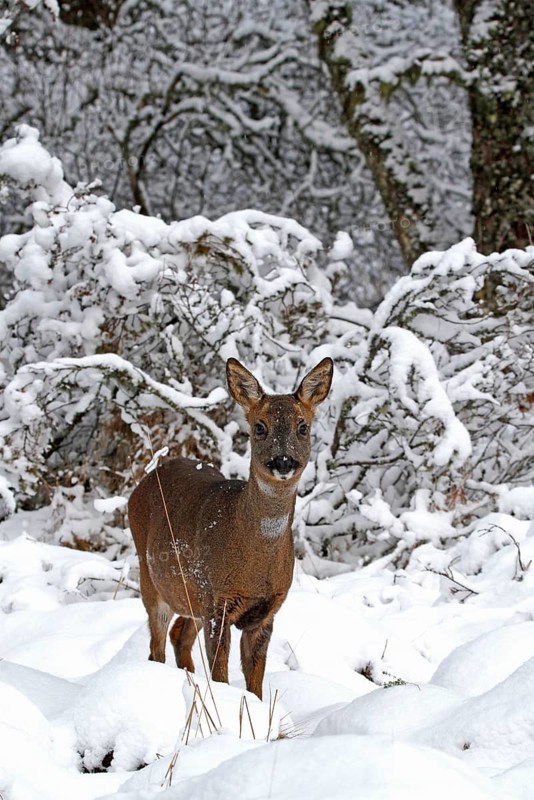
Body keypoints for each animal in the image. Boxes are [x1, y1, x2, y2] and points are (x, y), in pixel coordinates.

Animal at [128, 356, 333, 700]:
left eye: (302, 427)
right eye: (260, 427)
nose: (283, 462)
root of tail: (140, 485)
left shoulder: (266, 611)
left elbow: (256, 683)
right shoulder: (218, 601)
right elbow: (221, 674)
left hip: (191, 595)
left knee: (179, 634)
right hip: (152, 580)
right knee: (156, 646)